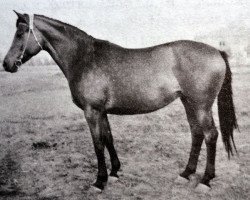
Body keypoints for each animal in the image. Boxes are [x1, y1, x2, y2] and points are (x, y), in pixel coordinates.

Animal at [2, 11, 237, 192]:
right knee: (197, 134)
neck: (84, 57)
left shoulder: (92, 111)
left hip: (201, 106)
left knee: (210, 135)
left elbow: (97, 144)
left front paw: (99, 181)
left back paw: (205, 180)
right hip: (188, 103)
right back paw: (186, 173)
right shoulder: (102, 111)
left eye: (21, 33)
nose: (6, 64)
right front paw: (114, 172)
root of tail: (217, 51)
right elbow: (108, 138)